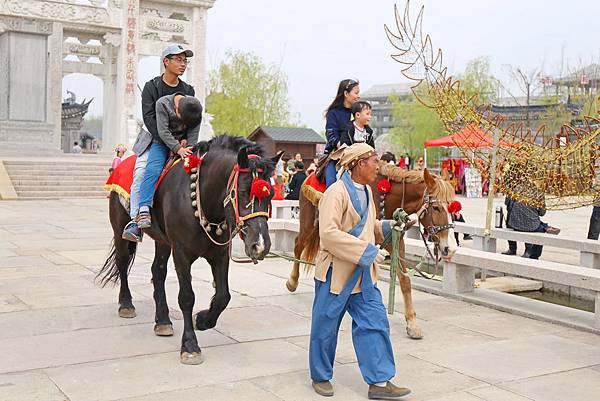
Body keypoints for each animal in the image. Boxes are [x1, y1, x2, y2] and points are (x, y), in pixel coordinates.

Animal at [98, 134, 282, 362]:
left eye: (271, 194)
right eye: (242, 192)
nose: (260, 245)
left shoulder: (219, 254)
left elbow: (223, 295)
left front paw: (203, 320)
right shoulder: (181, 253)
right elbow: (187, 297)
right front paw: (190, 344)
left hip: (162, 240)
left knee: (157, 271)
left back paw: (163, 320)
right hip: (120, 229)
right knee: (123, 262)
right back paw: (126, 304)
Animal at [286, 162, 454, 338]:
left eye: (451, 207)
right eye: (436, 208)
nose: (448, 247)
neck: (386, 197)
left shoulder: (395, 237)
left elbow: (404, 280)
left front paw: (412, 323)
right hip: (308, 221)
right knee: (298, 244)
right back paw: (292, 281)